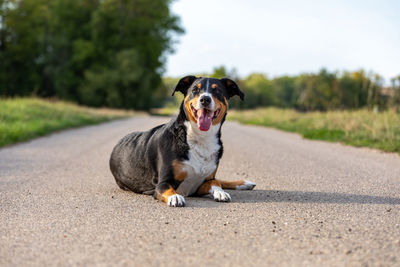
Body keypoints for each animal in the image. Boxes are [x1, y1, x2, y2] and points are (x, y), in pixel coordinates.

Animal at [109, 75, 256, 207]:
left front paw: (220, 192)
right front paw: (174, 197)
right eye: (195, 90)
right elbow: (169, 189)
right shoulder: (162, 183)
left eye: (217, 90)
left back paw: (244, 183)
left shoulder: (201, 183)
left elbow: (215, 182)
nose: (205, 99)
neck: (199, 138)